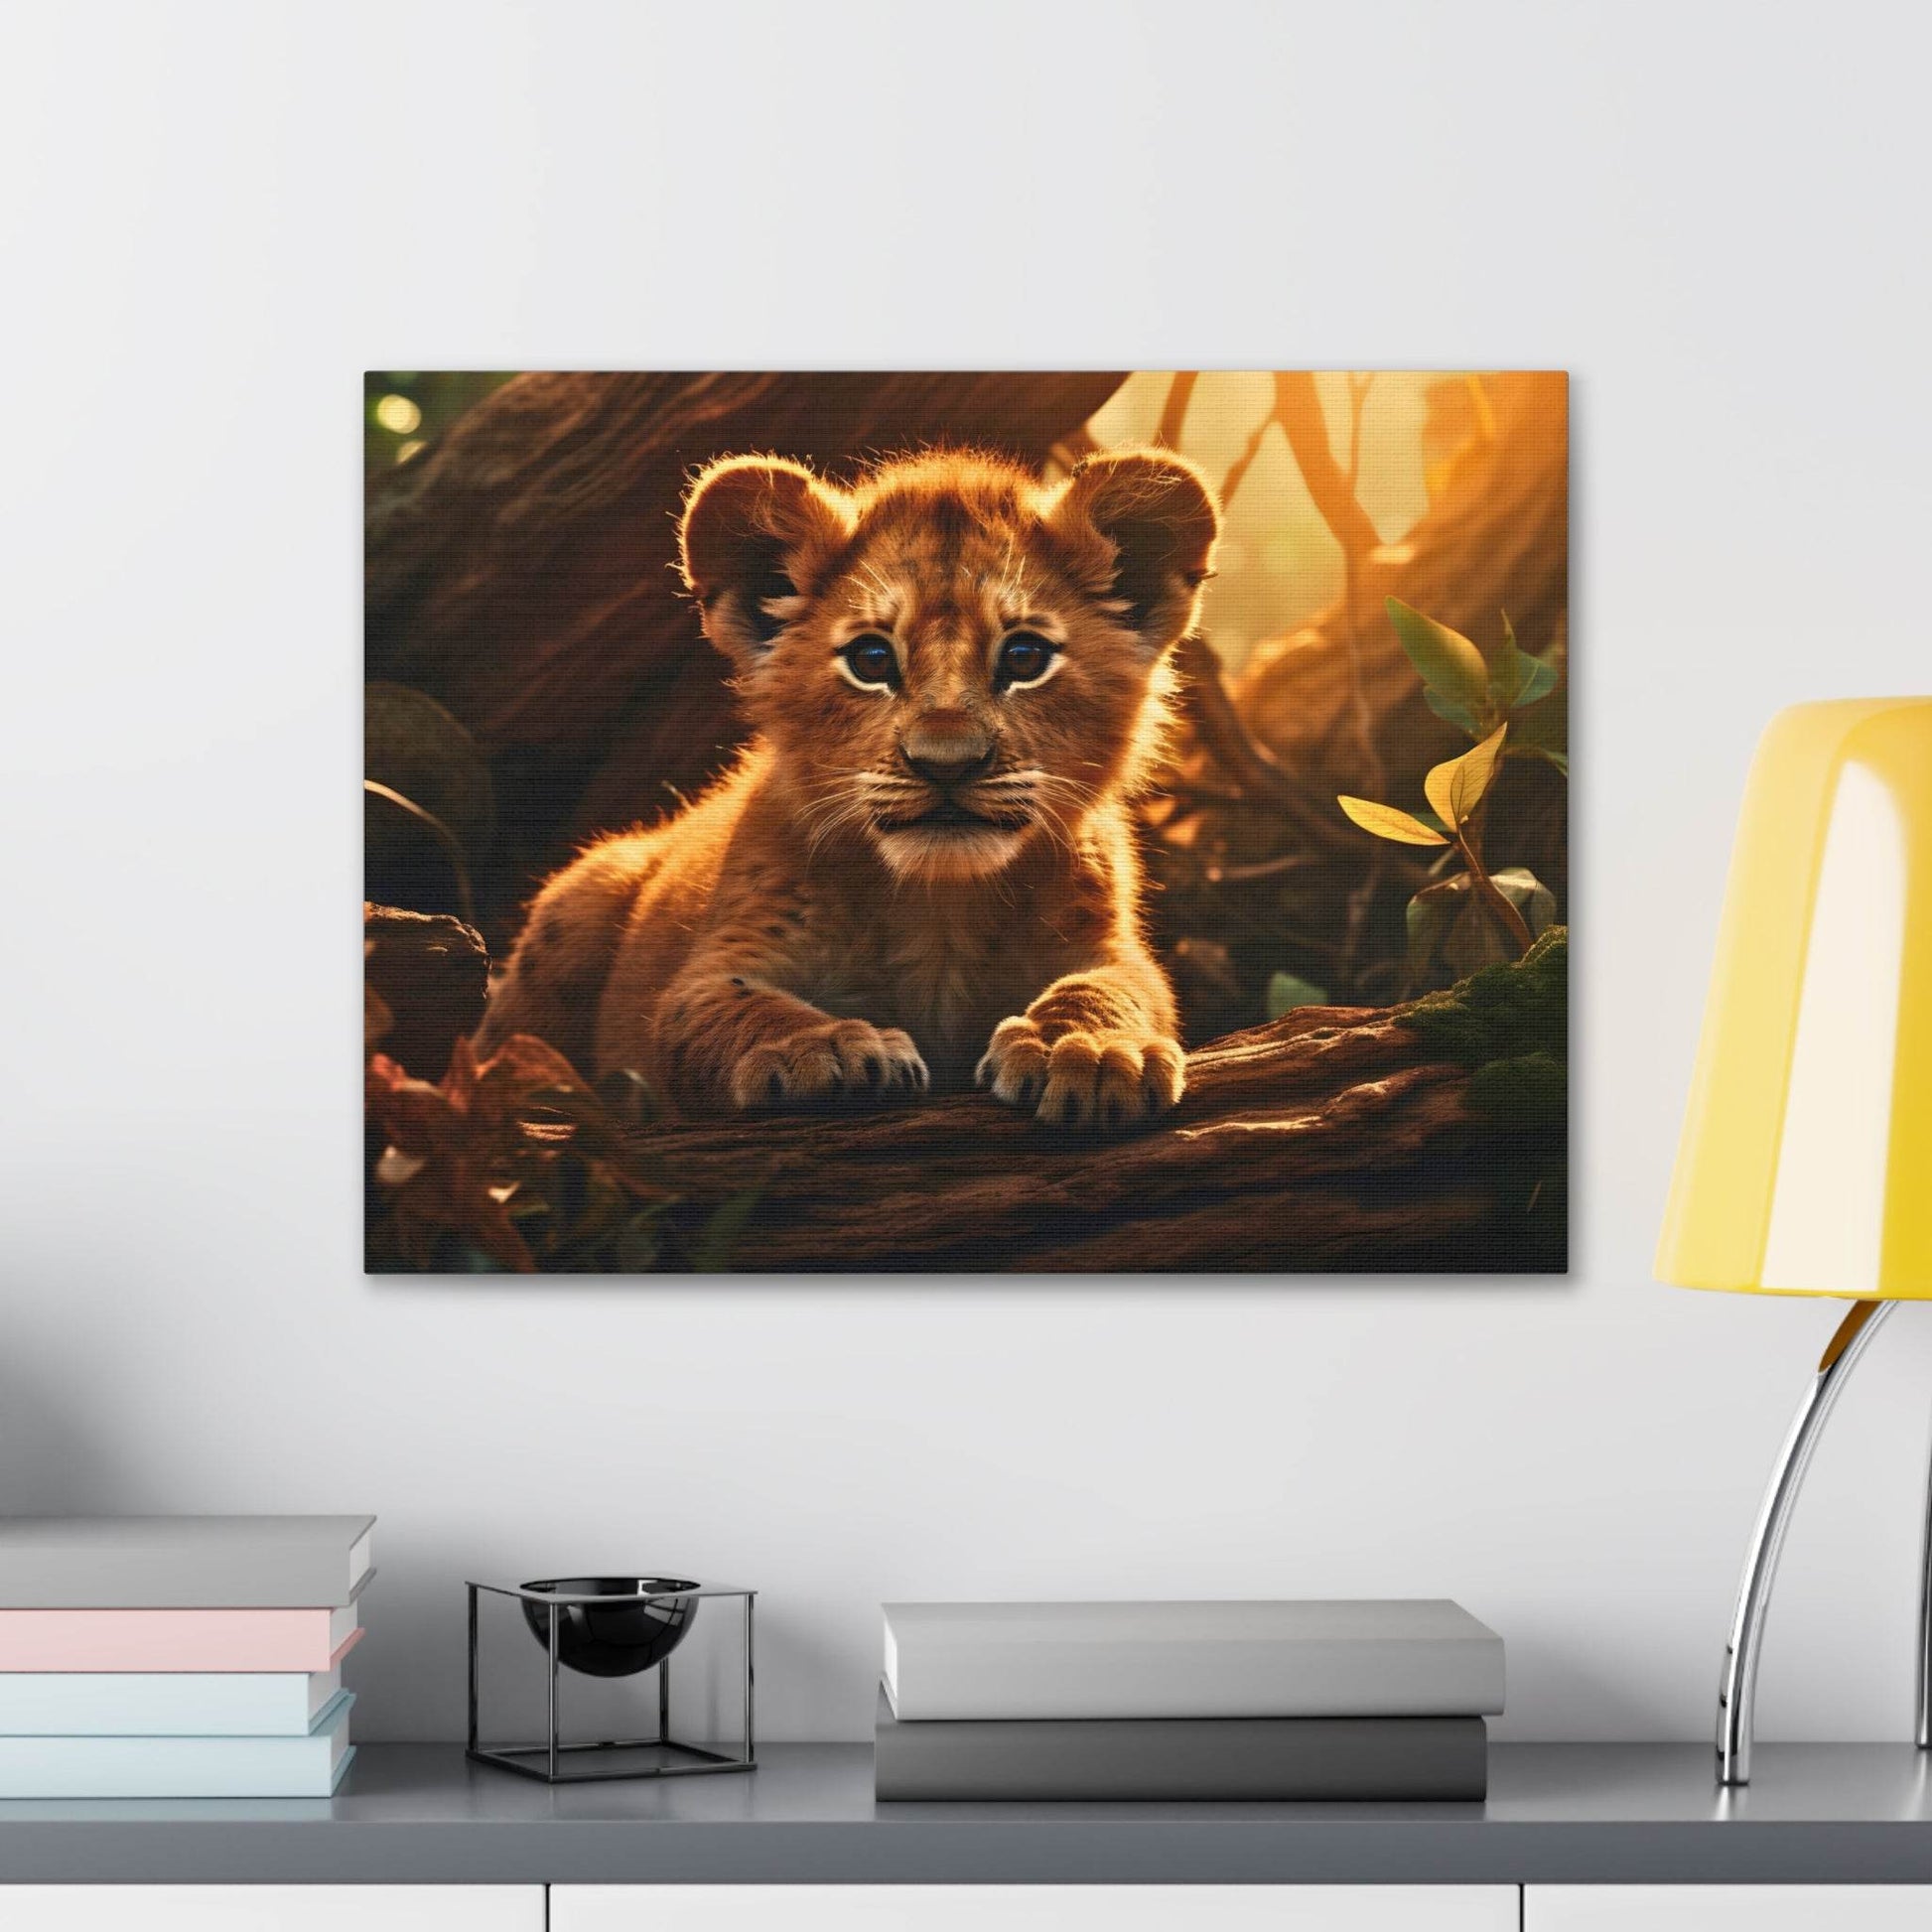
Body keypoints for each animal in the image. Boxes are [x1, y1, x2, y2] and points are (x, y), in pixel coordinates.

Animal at [478, 445, 1221, 1129]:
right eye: (870, 659)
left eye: (1024, 657)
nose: (946, 762)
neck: (939, 909)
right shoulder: (716, 964)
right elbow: (739, 1007)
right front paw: (822, 1048)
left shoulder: (1110, 946)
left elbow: (1111, 987)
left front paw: (1089, 1050)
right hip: (580, 897)